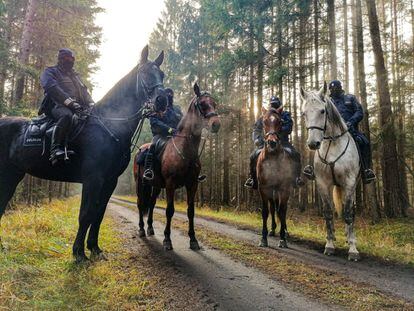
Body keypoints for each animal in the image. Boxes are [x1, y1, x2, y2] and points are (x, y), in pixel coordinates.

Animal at [0, 45, 168, 264]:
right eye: (145, 73)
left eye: (162, 74)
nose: (163, 100)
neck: (109, 126)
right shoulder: (93, 178)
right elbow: (86, 213)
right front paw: (79, 253)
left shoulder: (109, 181)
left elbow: (99, 213)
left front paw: (94, 248)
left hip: (12, 175)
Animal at [134, 84, 220, 252]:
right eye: (202, 104)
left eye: (214, 103)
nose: (216, 124)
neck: (185, 149)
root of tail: (141, 149)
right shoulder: (170, 184)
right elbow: (169, 210)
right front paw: (167, 240)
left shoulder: (192, 184)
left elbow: (191, 211)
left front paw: (193, 240)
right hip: (140, 183)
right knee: (140, 204)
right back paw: (141, 229)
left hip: (156, 186)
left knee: (151, 204)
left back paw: (150, 228)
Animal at [256, 107, 294, 249]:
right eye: (264, 122)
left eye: (280, 122)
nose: (272, 142)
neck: (272, 157)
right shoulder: (263, 188)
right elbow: (265, 211)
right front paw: (263, 238)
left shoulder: (284, 189)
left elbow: (282, 211)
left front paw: (283, 239)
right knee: (273, 208)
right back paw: (272, 229)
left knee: (281, 210)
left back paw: (285, 232)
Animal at [300, 81, 360, 262]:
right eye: (304, 113)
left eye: (322, 111)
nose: (313, 144)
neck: (332, 145)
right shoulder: (323, 183)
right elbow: (327, 213)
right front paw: (330, 245)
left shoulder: (348, 183)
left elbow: (347, 214)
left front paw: (353, 250)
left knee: (351, 211)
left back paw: (349, 238)